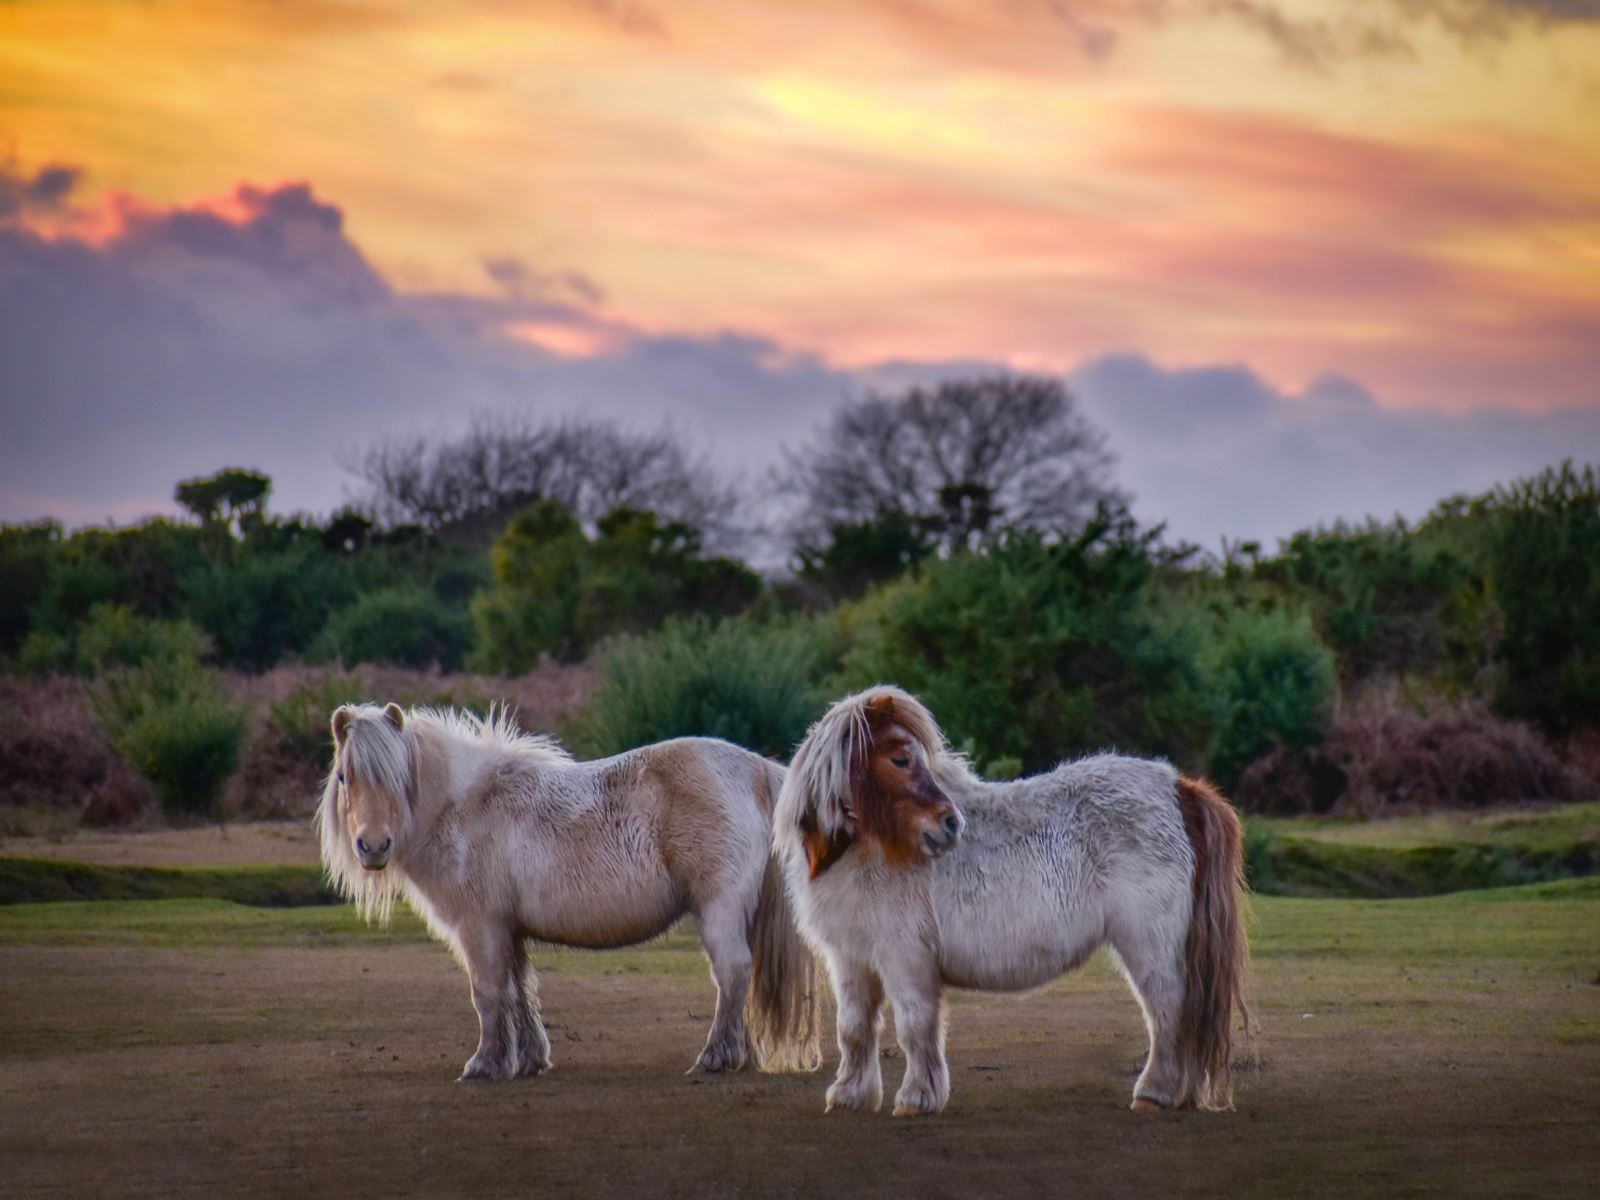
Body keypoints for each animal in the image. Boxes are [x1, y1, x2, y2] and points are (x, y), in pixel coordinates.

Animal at [316, 700, 819, 1088]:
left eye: (396, 778)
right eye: (344, 778)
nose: (373, 846)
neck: (465, 808)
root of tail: (754, 768)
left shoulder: (481, 929)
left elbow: (488, 993)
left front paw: (484, 1064)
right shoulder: (508, 930)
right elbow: (519, 990)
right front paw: (528, 1060)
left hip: (720, 908)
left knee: (732, 972)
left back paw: (716, 1057)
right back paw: (741, 1054)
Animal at [774, 691, 1248, 1126]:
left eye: (915, 759)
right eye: (900, 759)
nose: (951, 825)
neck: (872, 849)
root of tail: (1179, 787)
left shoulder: (905, 958)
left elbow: (914, 1026)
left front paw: (916, 1097)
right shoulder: (851, 959)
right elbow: (853, 1028)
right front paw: (850, 1095)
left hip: (1151, 947)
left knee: (1167, 1009)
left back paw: (1156, 1092)